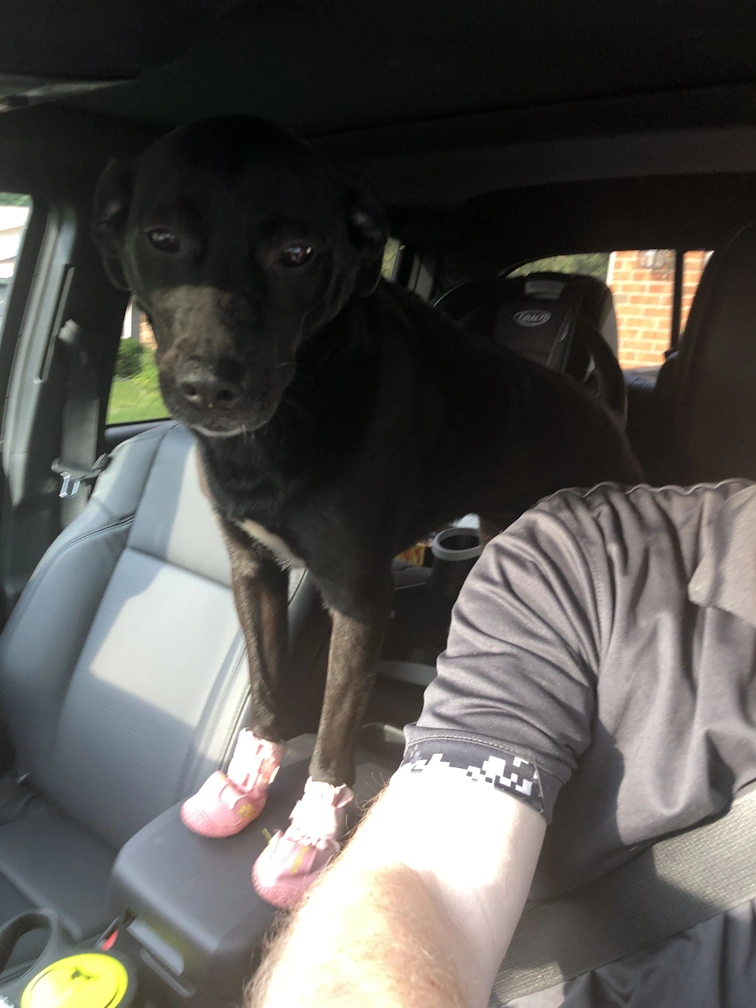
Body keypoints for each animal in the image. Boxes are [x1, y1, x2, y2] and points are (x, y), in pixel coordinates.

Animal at [91, 115, 641, 899]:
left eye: (297, 253)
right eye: (162, 236)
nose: (212, 387)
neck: (293, 409)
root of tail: (605, 409)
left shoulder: (357, 597)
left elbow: (333, 723)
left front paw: (310, 829)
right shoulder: (252, 570)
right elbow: (267, 685)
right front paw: (245, 783)